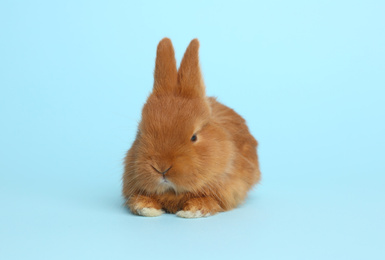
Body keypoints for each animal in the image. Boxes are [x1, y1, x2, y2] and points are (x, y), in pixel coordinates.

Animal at [122, 38, 260, 217]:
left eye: (194, 137)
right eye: (140, 132)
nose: (161, 168)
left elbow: (209, 202)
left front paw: (191, 211)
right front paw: (147, 208)